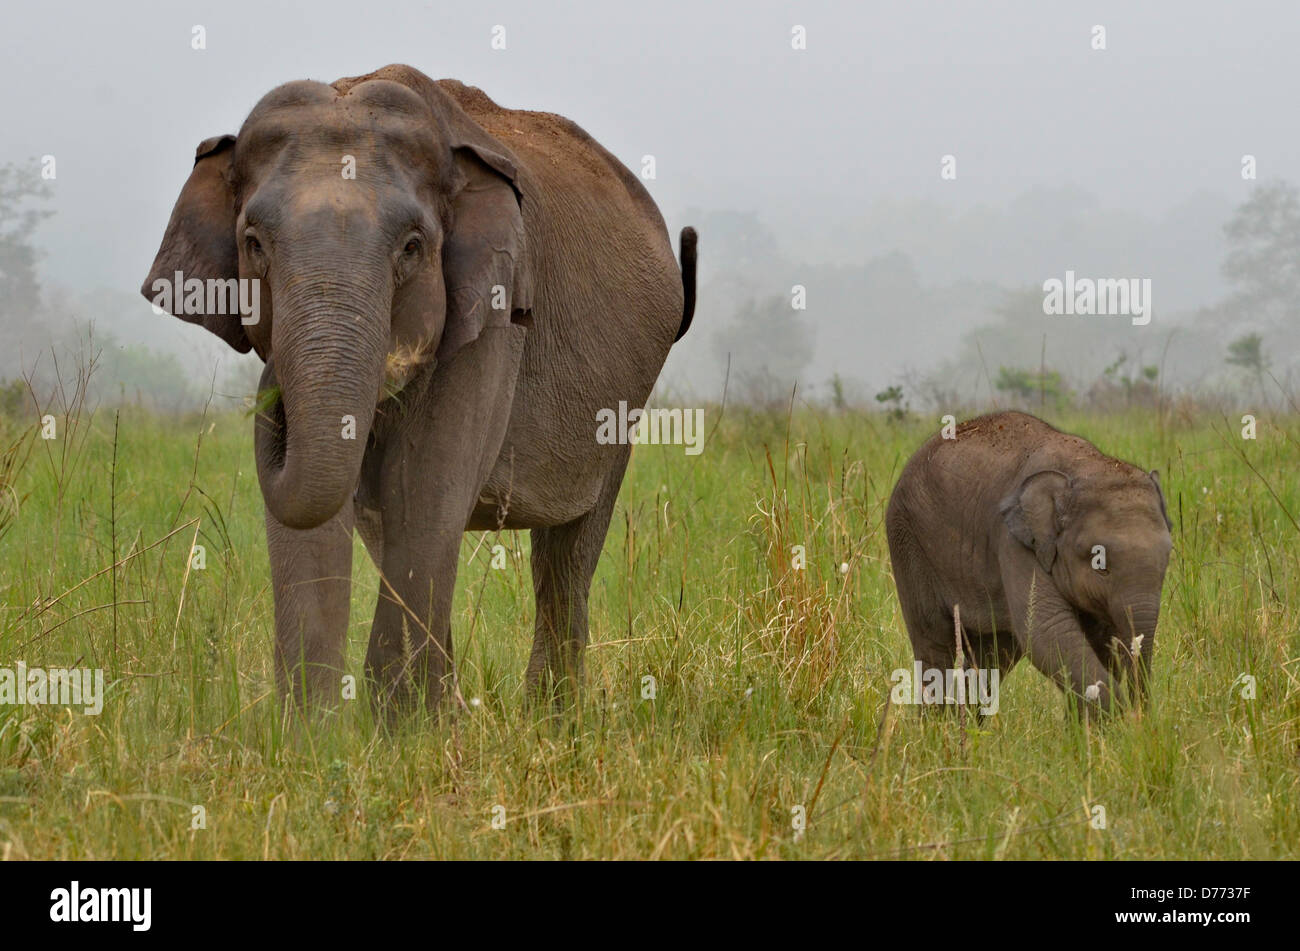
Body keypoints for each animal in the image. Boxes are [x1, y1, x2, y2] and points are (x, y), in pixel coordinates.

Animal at [139, 64, 702, 711]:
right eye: (253, 243)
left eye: (411, 247)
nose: (270, 397)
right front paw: (313, 727)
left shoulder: (496, 316)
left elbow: (425, 483)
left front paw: (402, 723)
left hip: (626, 399)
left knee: (567, 551)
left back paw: (547, 719)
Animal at [889, 407, 1175, 711]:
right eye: (1101, 565)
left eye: (1166, 562)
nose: (1143, 713)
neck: (1085, 467)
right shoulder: (1014, 542)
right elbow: (1048, 630)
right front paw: (1118, 716)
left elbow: (1098, 638)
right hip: (907, 539)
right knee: (934, 642)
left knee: (993, 653)